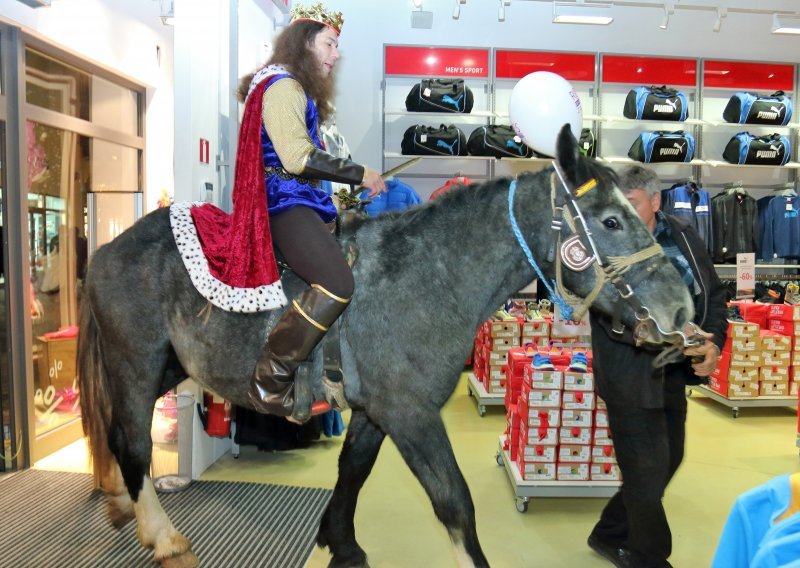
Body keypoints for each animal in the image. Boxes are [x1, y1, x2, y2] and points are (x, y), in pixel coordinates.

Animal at [78, 126, 696, 564]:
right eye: (611, 221)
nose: (680, 309)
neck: (430, 275)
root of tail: (108, 247)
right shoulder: (411, 414)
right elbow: (455, 503)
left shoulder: (376, 412)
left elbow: (352, 471)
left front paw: (340, 542)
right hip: (136, 364)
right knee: (131, 442)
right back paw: (163, 537)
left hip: (166, 366)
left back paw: (120, 505)